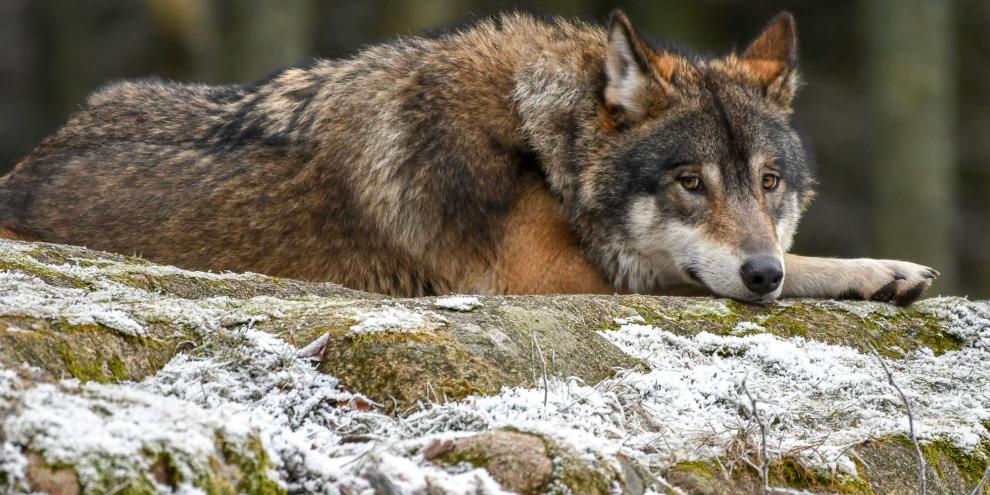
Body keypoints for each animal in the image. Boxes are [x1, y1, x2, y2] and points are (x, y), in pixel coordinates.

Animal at [0, 10, 937, 304]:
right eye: (689, 182)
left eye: (769, 182)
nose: (760, 274)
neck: (538, 141)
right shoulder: (552, 279)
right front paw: (868, 270)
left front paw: (876, 272)